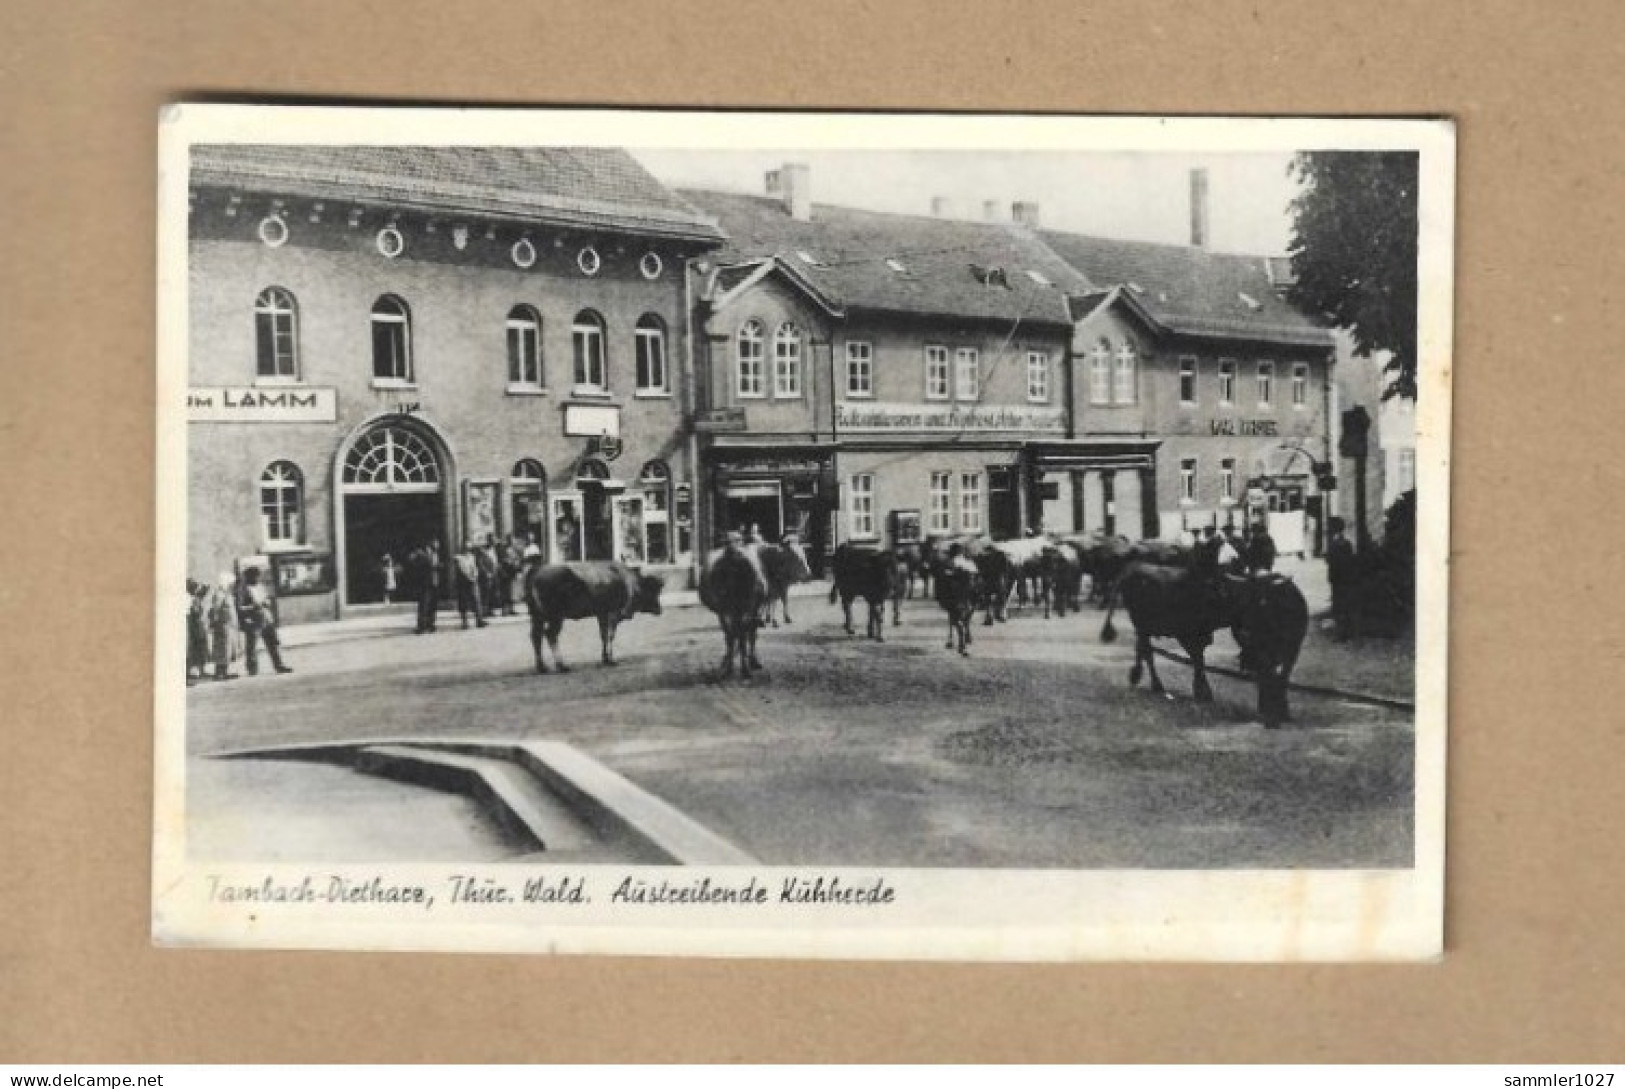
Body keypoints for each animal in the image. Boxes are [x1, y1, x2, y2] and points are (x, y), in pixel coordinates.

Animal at [526, 562, 666, 672]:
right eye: (652, 590)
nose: (659, 610)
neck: (629, 582)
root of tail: (536, 570)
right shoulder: (613, 614)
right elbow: (610, 636)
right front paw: (611, 660)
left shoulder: (601, 615)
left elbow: (603, 635)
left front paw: (605, 659)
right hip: (556, 617)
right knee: (550, 634)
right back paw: (562, 666)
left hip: (538, 617)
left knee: (536, 636)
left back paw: (542, 667)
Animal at [702, 542, 770, 679]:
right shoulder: (748, 610)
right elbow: (746, 635)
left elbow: (738, 635)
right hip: (736, 609)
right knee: (739, 635)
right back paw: (740, 668)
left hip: (729, 610)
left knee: (734, 635)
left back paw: (733, 667)